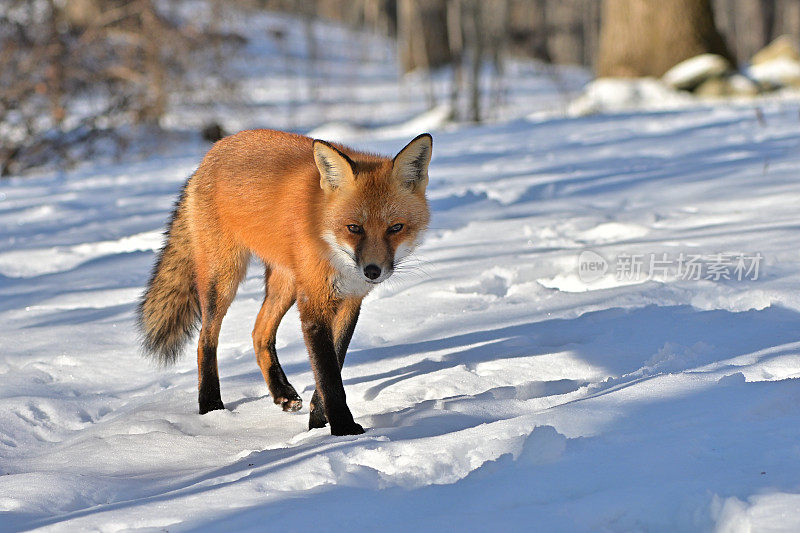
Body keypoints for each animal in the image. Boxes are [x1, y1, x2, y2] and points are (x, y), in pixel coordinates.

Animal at [138, 131, 432, 434]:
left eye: (395, 228)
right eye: (354, 228)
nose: (372, 271)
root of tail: (212, 152)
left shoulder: (350, 300)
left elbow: (334, 364)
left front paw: (317, 422)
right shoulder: (314, 304)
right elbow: (328, 376)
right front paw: (343, 429)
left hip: (286, 285)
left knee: (259, 333)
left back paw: (281, 392)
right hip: (223, 279)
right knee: (205, 338)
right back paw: (210, 405)